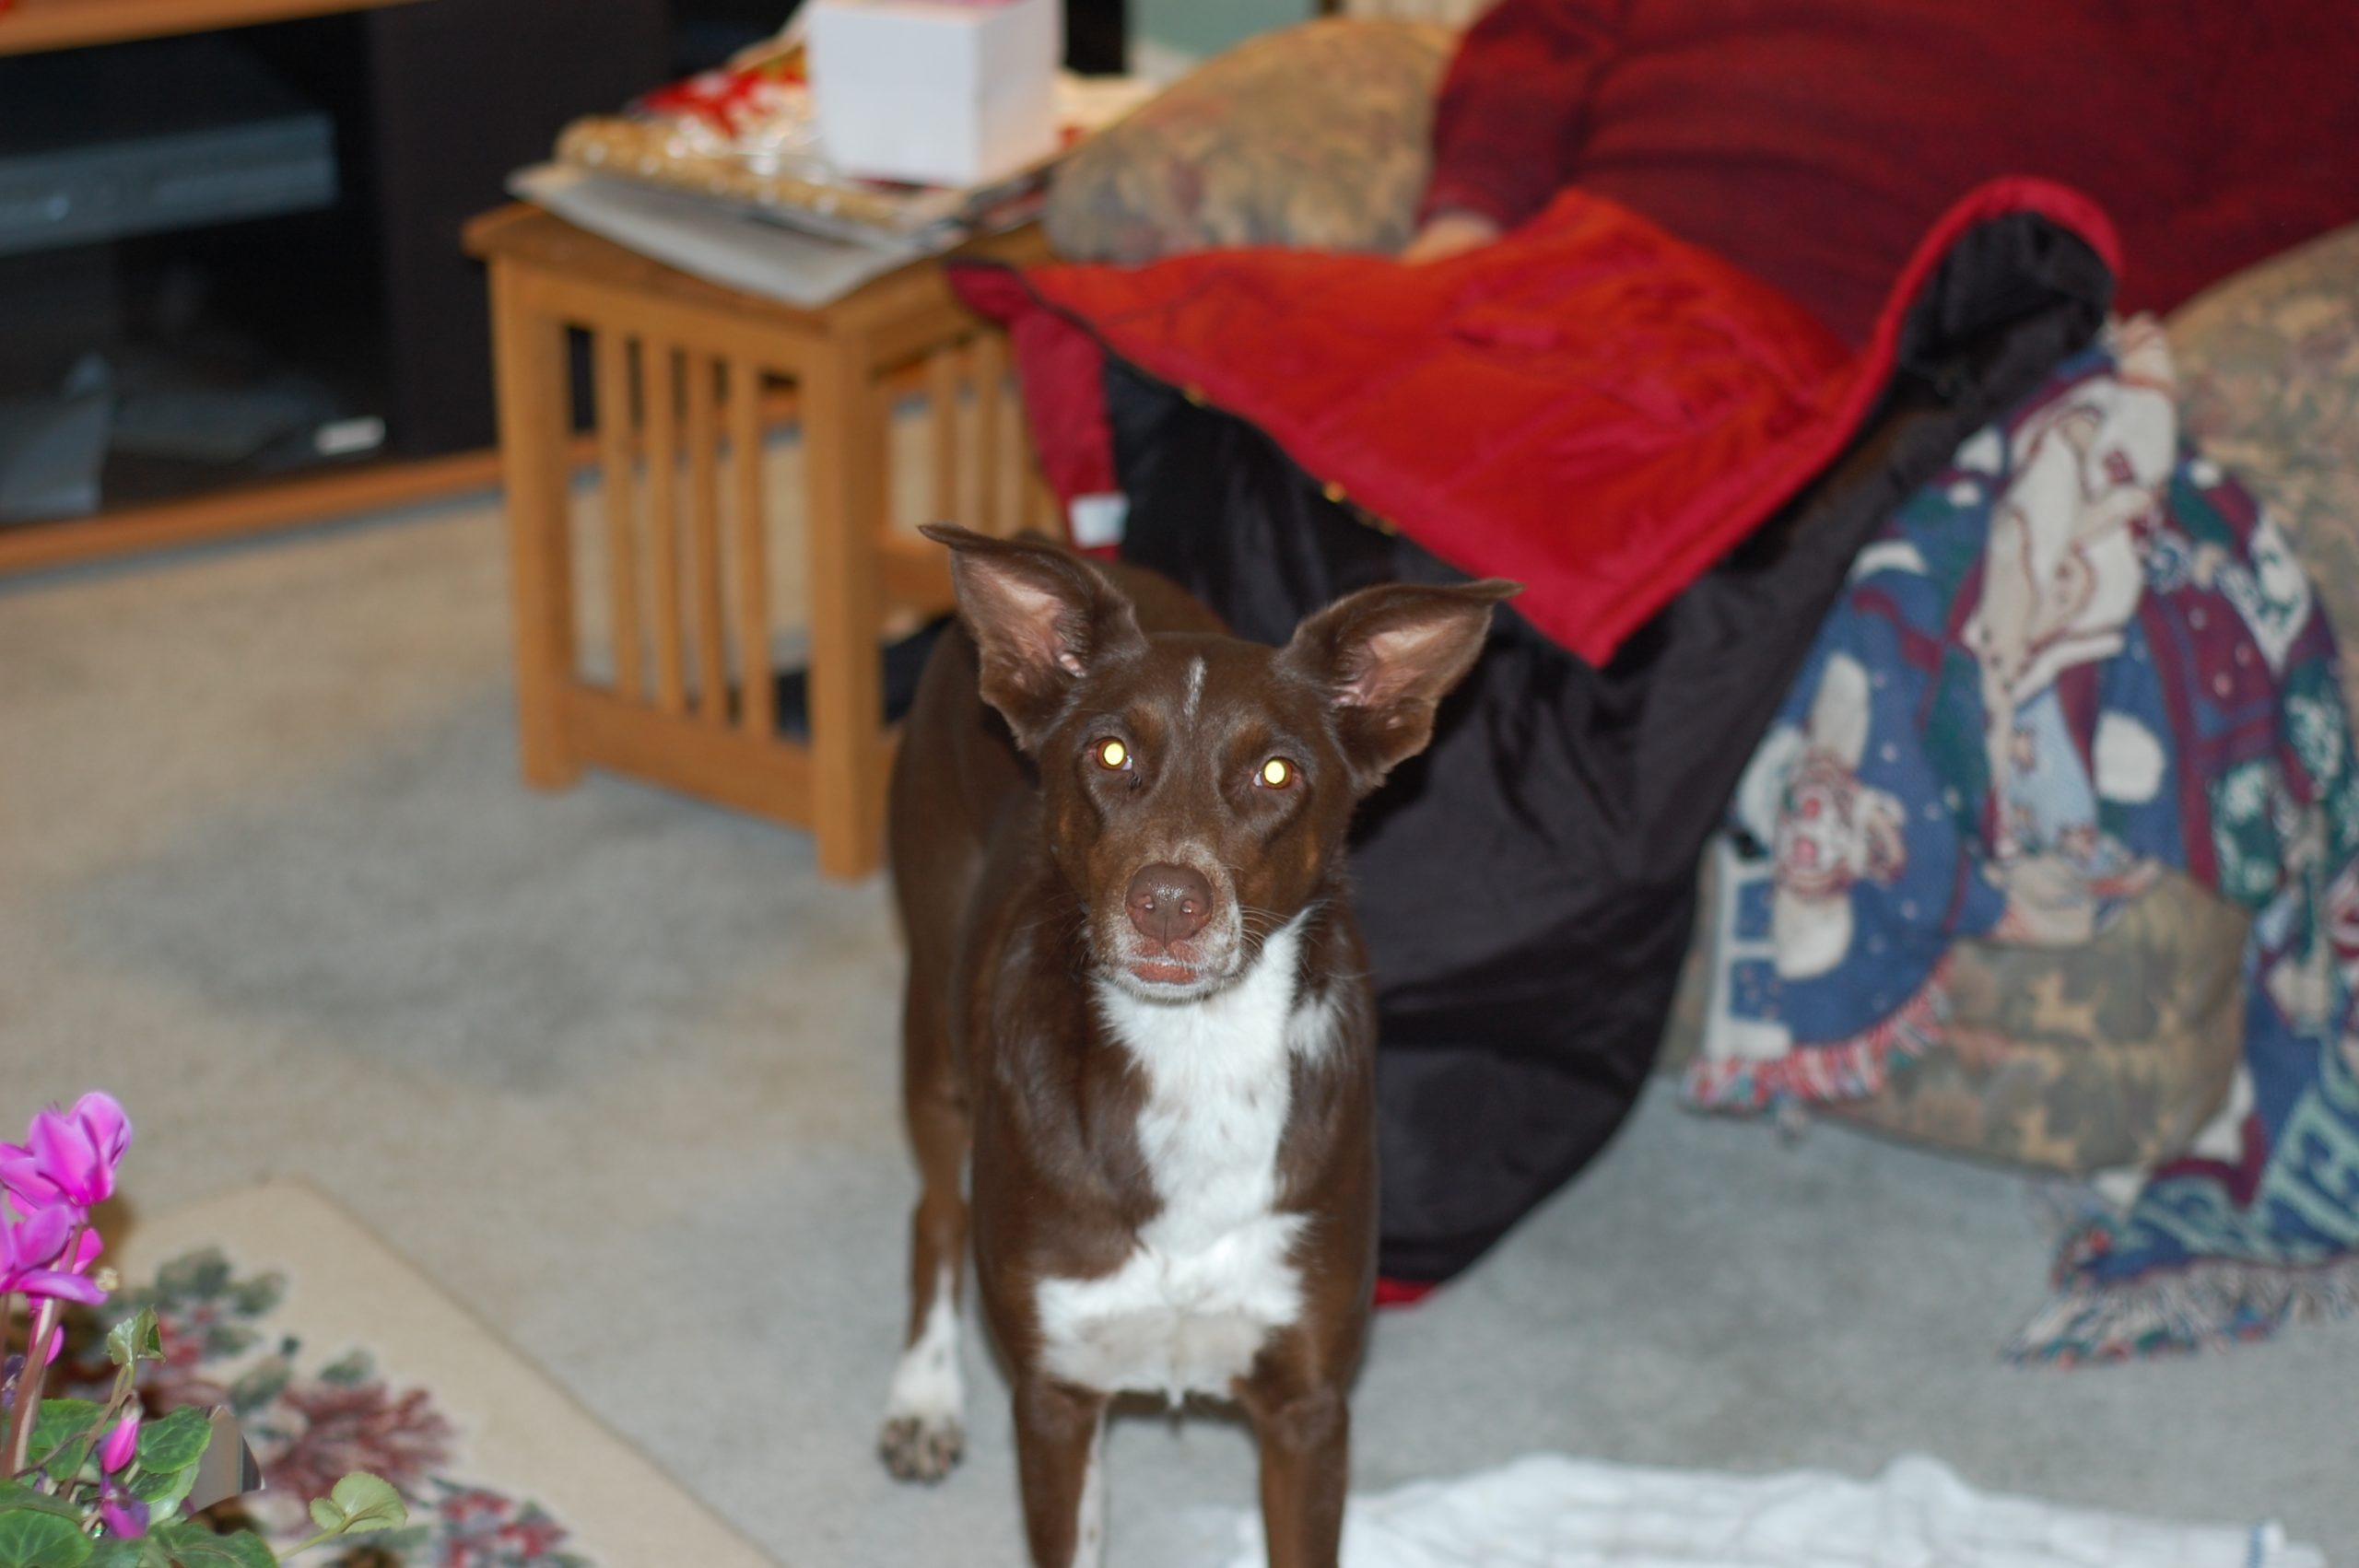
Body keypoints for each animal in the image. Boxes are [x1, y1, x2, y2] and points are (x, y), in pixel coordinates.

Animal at [886, 528, 1509, 1565]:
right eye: (1109, 751)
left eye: (1277, 774)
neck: (1192, 1056)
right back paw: (924, 1393)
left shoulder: (1307, 1407)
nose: (1170, 902)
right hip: (934, 1027)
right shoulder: (1054, 1397)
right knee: (936, 1208)